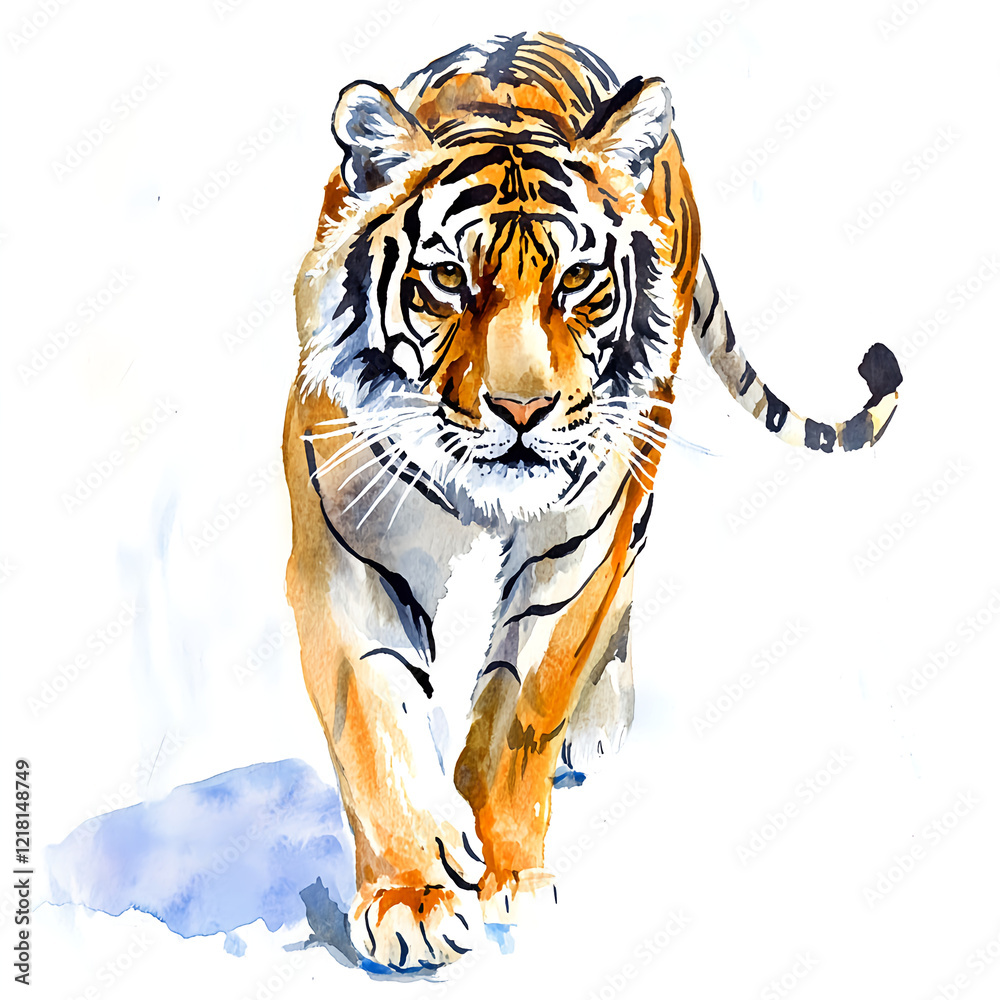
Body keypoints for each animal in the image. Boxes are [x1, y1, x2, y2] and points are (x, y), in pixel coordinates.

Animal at [282, 31, 901, 972]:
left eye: (576, 281)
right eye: (447, 280)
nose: (523, 408)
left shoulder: (575, 546)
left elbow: (521, 710)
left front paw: (506, 874)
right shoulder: (348, 549)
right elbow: (376, 724)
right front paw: (415, 896)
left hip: (641, 447)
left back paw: (598, 721)